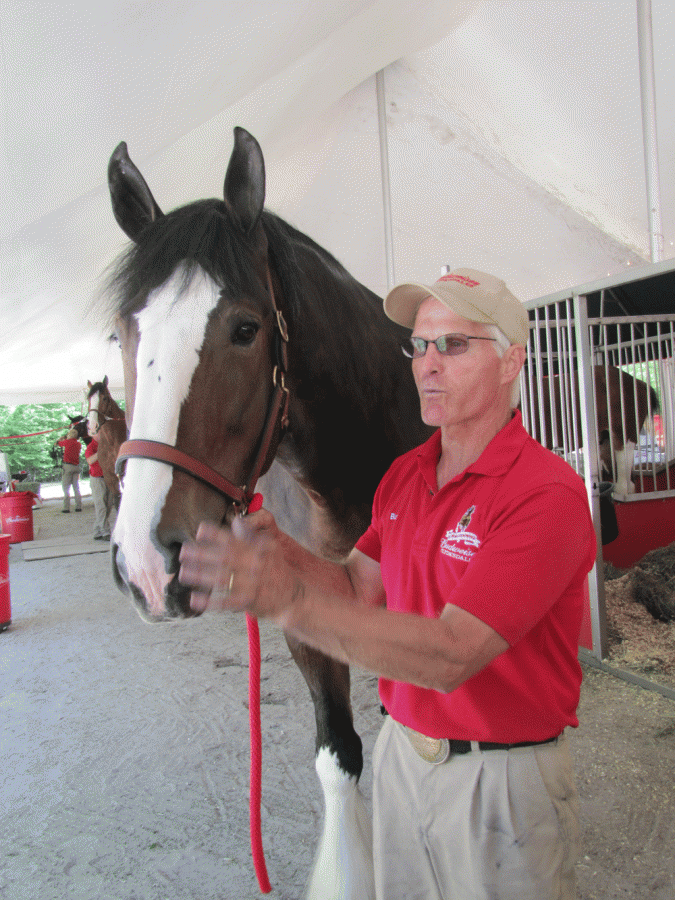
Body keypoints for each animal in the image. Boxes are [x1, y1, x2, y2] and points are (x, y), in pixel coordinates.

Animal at [86, 376, 127, 510]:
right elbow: (117, 500)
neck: (112, 441)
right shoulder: (109, 476)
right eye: (88, 399)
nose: (92, 426)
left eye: (104, 398)